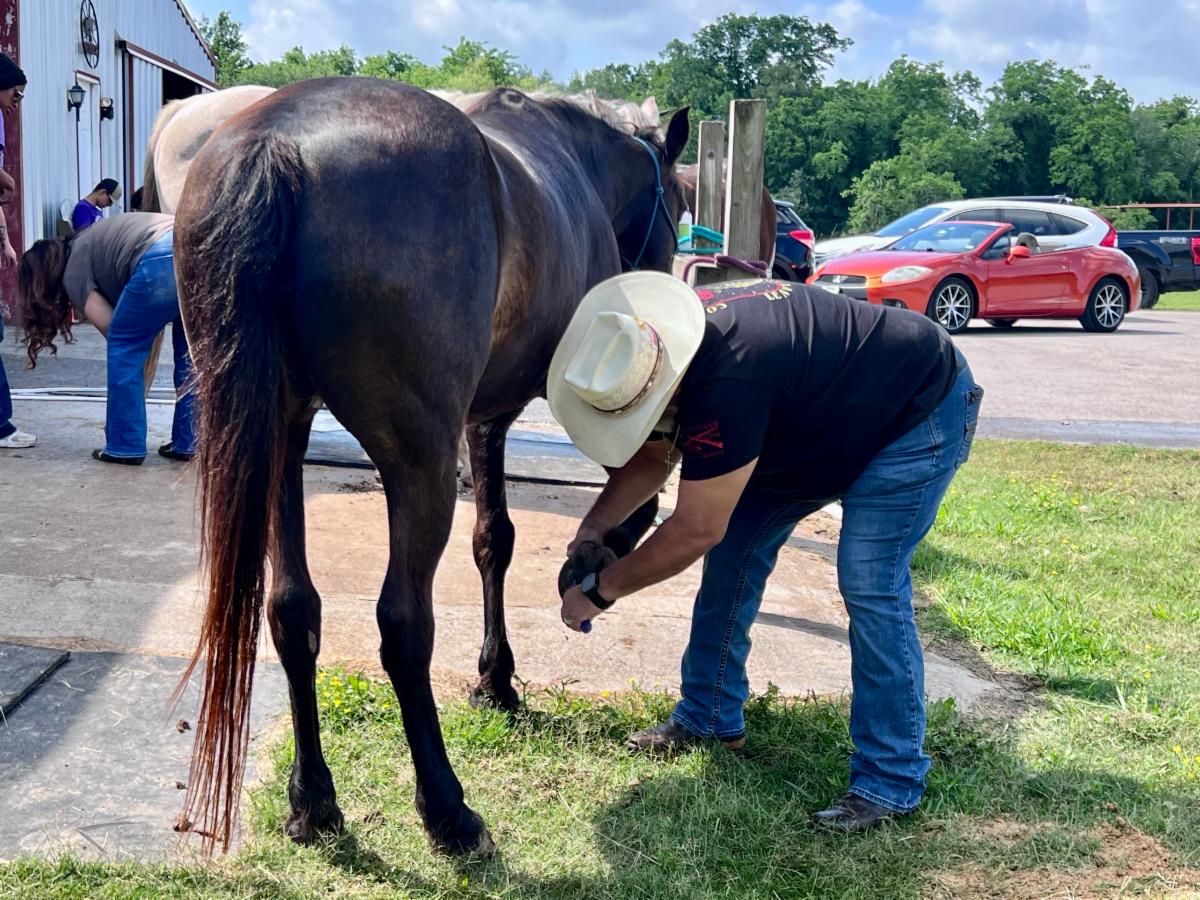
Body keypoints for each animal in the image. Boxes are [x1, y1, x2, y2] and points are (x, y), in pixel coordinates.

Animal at [172, 77, 689, 856]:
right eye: (682, 205)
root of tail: (276, 142)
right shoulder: (524, 411)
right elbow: (614, 505)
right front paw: (585, 570)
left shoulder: (484, 418)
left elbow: (493, 540)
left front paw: (499, 676)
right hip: (417, 463)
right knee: (403, 625)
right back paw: (448, 809)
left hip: (277, 441)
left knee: (292, 610)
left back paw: (314, 802)